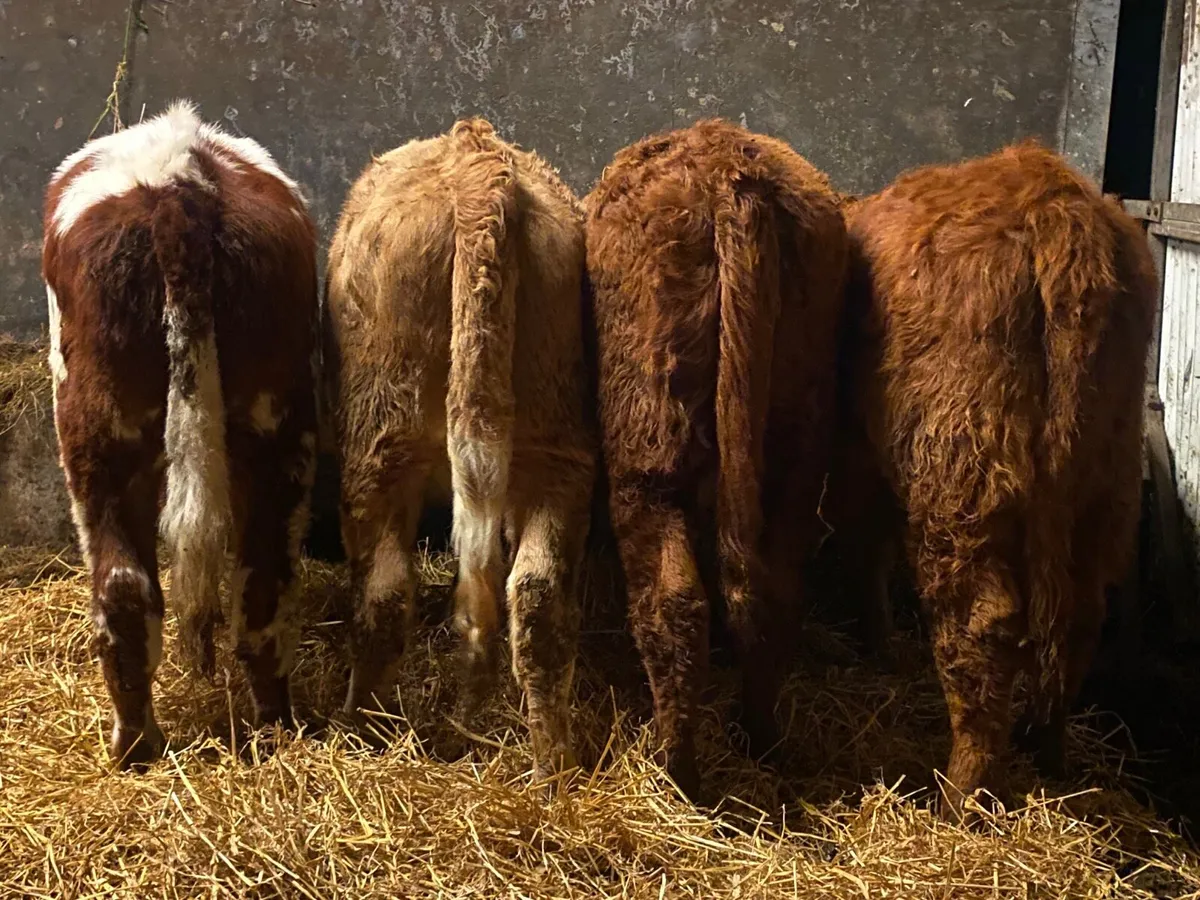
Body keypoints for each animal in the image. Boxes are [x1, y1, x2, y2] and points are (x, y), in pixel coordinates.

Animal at [42, 101, 319, 768]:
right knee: (262, 584)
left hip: (96, 431)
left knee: (121, 587)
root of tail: (178, 183)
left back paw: (133, 745)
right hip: (279, 425)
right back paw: (275, 730)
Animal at [324, 119, 594, 784]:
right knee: (536, 595)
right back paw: (553, 768)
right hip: (557, 440)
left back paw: (356, 732)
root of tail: (475, 154)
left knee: (384, 593)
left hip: (379, 437)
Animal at [584, 120, 848, 798]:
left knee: (675, 602)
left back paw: (676, 770)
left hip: (649, 451)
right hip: (795, 448)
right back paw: (759, 739)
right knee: (773, 590)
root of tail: (730, 171)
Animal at [830, 141, 1157, 814]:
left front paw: (878, 648)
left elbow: (866, 550)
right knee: (1080, 617)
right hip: (1106, 481)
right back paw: (1049, 755)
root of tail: (1055, 205)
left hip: (964, 478)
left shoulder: (857, 453)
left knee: (983, 627)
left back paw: (961, 798)